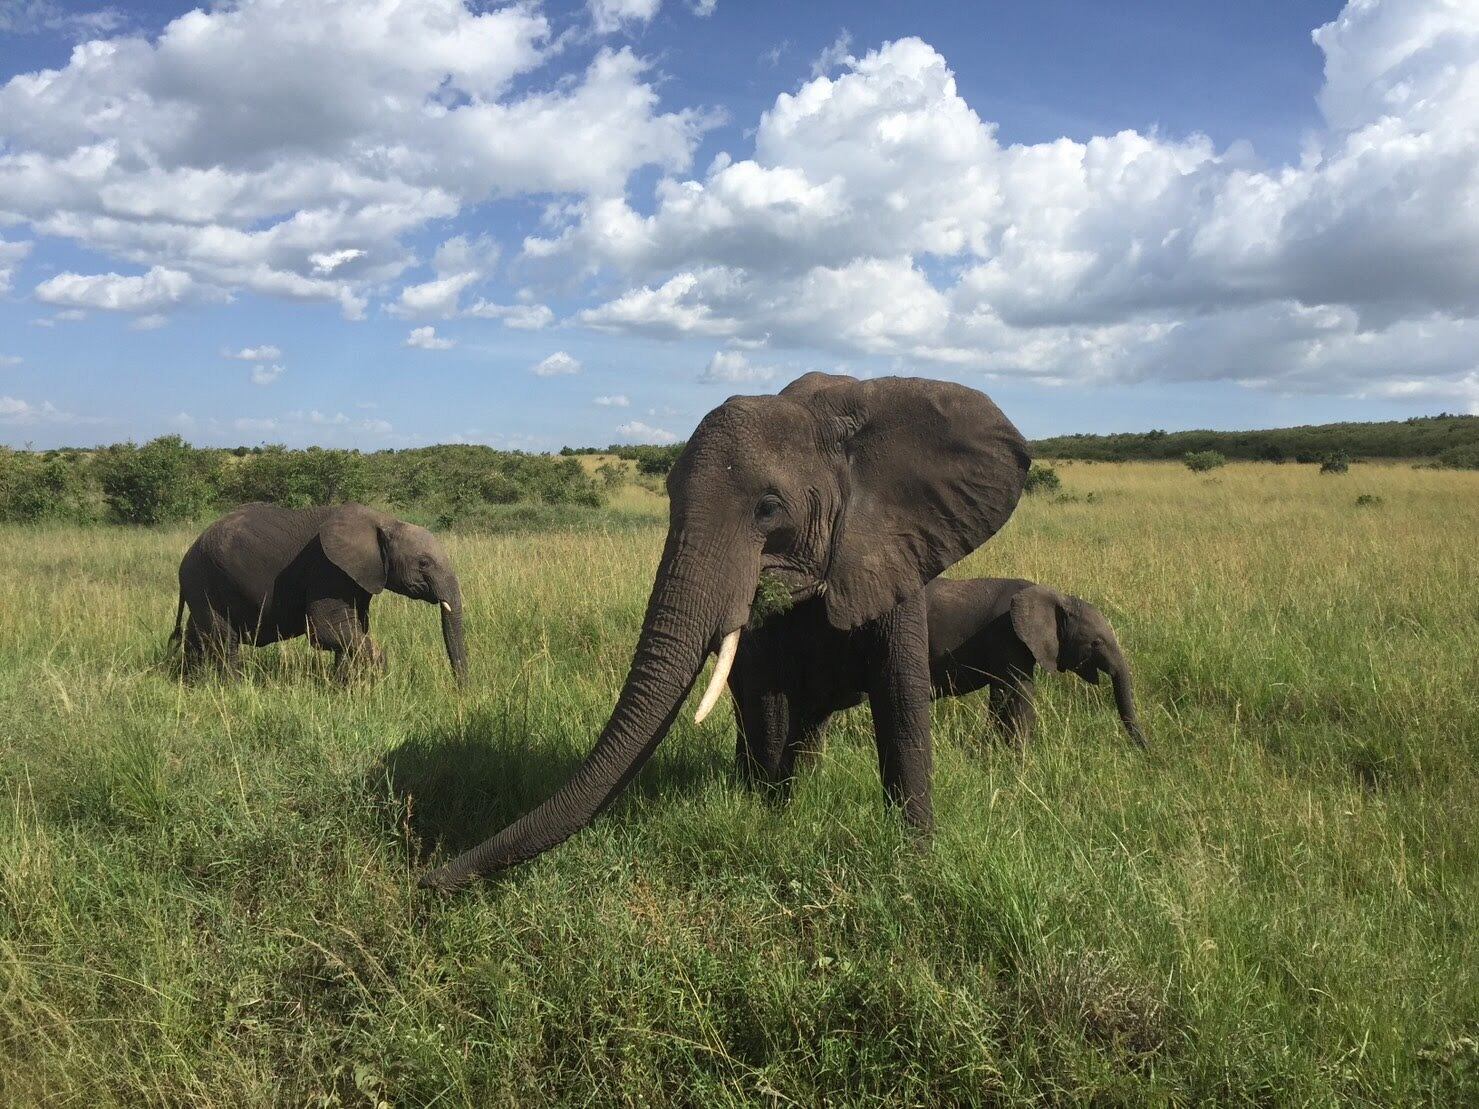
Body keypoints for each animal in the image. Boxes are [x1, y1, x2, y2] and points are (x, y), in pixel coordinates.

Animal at [170, 502, 467, 683]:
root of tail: (188, 554)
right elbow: (327, 630)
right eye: (424, 563)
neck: (383, 521)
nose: (461, 691)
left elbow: (353, 628)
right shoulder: (327, 569)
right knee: (223, 641)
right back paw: (234, 686)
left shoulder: (357, 576)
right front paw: (375, 682)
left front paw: (344, 686)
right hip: (206, 580)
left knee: (198, 635)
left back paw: (190, 681)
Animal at [420, 371, 1030, 890]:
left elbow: (901, 704)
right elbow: (766, 699)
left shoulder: (891, 549)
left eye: (768, 509)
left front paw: (914, 862)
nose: (427, 879)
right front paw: (771, 818)